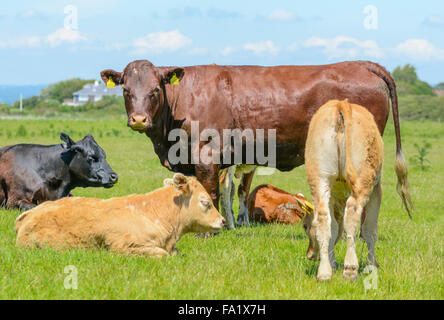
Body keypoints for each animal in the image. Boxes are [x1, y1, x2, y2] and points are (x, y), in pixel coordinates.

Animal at [100, 59, 406, 218]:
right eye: (126, 90)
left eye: (154, 90)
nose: (139, 119)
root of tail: (361, 65)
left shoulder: (206, 156)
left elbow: (209, 193)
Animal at [304, 99, 412, 280]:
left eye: (306, 226)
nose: (310, 255)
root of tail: (340, 105)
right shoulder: (377, 191)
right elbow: (369, 230)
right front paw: (372, 265)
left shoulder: (333, 196)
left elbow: (334, 229)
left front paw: (332, 264)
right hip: (364, 181)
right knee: (353, 214)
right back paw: (350, 268)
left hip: (319, 178)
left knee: (324, 218)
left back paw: (324, 271)